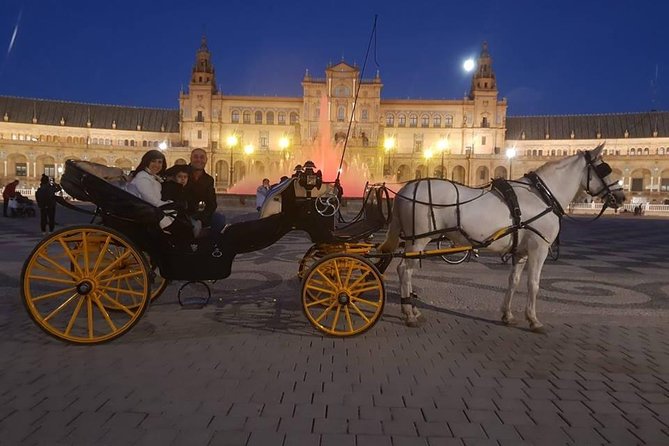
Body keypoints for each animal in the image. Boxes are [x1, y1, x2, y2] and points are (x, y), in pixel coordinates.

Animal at [380, 145, 628, 332]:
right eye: (604, 169)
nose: (622, 197)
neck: (542, 196)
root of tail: (406, 188)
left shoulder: (520, 251)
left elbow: (513, 282)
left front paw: (507, 315)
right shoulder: (539, 249)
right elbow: (534, 284)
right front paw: (534, 320)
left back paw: (412, 308)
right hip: (419, 239)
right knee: (404, 270)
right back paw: (408, 313)